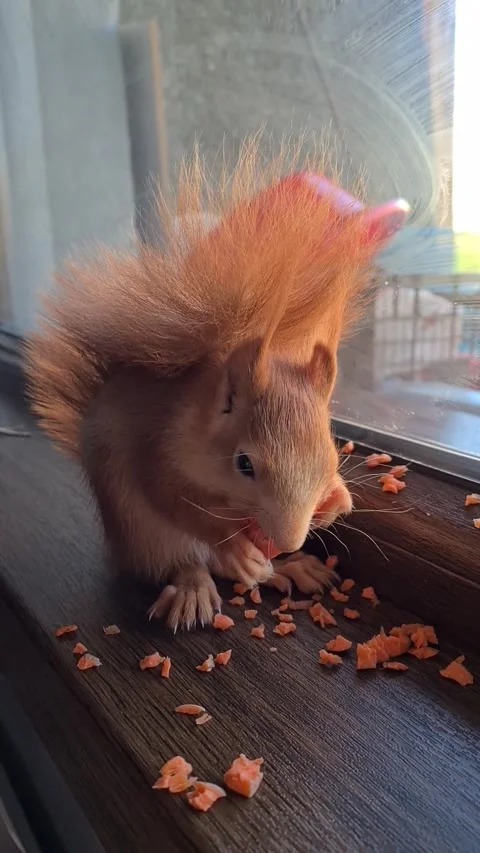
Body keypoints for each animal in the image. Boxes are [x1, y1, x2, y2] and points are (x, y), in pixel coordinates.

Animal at [25, 139, 409, 630]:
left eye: (329, 453)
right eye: (244, 464)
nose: (288, 540)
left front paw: (337, 502)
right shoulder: (156, 451)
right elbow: (174, 500)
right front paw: (234, 545)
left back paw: (290, 568)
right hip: (146, 537)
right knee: (187, 562)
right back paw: (204, 584)